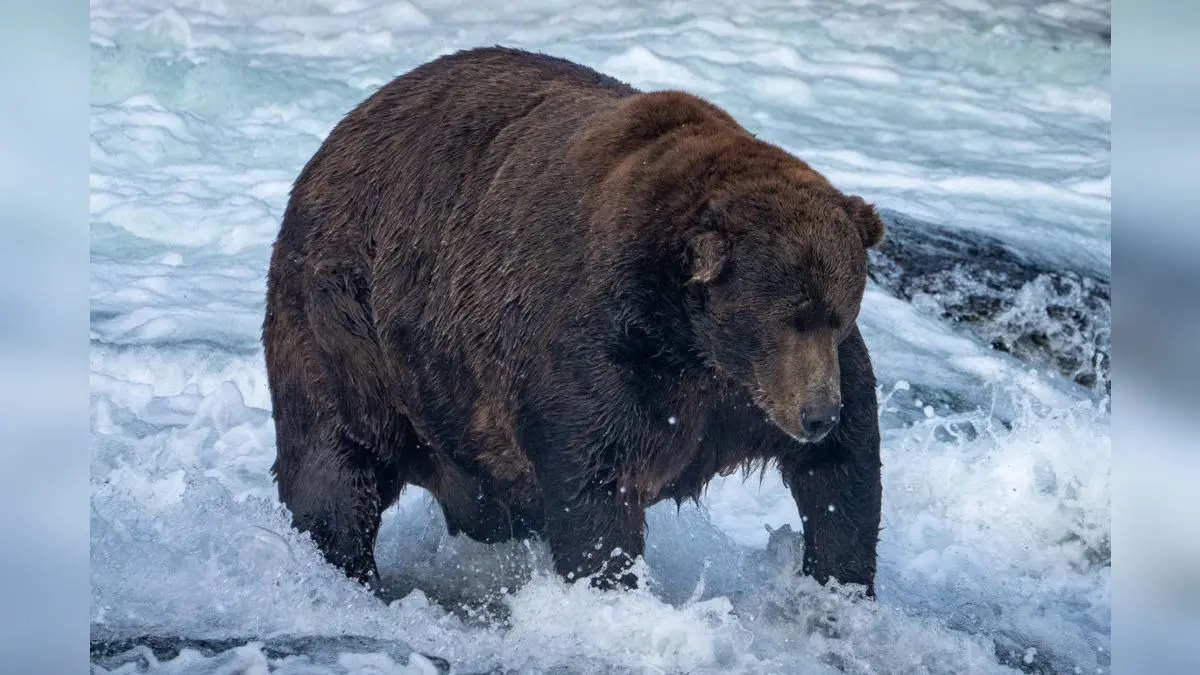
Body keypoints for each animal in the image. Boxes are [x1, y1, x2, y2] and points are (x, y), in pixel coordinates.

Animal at [263, 46, 886, 597]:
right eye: (785, 318)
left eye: (837, 314)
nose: (817, 414)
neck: (692, 343)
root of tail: (339, 133)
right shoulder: (604, 351)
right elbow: (594, 481)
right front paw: (612, 588)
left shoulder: (750, 393)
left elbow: (844, 470)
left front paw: (838, 586)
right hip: (348, 323)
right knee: (338, 459)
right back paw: (349, 568)